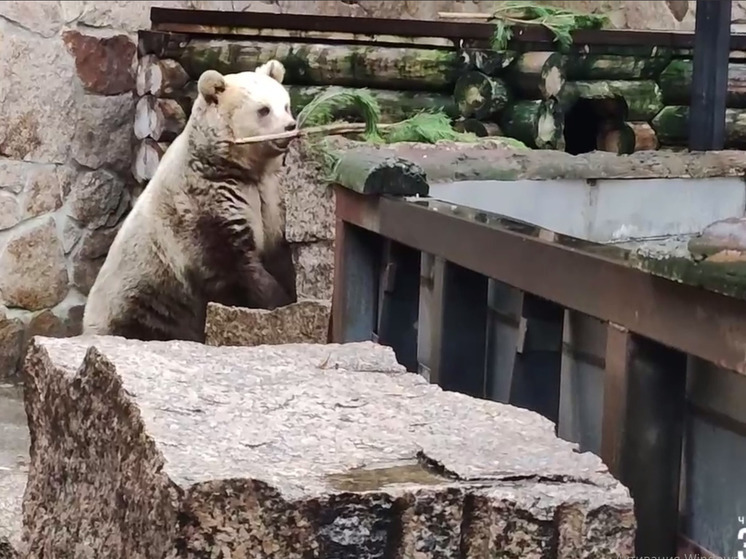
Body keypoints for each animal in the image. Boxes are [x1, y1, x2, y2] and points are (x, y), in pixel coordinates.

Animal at [83, 60, 298, 342]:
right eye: (264, 110)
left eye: (285, 105)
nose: (290, 127)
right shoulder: (202, 201)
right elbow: (232, 263)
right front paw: (277, 301)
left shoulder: (270, 193)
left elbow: (278, 249)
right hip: (144, 298)